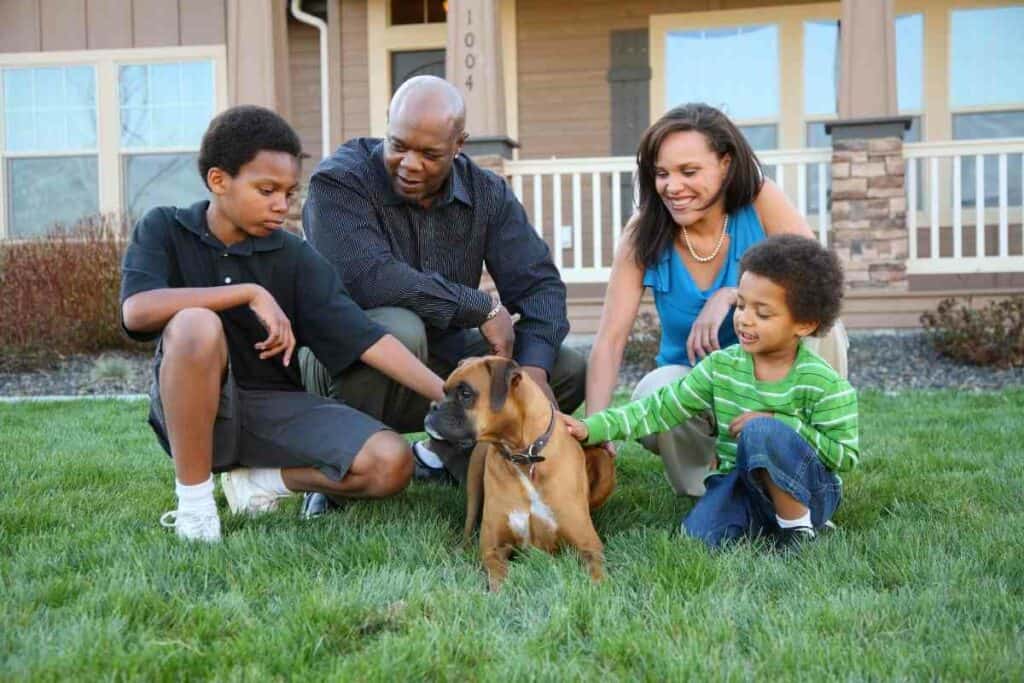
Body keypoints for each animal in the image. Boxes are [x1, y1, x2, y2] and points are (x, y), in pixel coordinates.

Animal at [423, 356, 614, 589]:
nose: (433, 406)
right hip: (475, 479)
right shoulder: (493, 549)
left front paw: (600, 587)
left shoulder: (589, 545)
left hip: (604, 461)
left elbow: (598, 573)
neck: (524, 455)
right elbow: (498, 578)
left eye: (466, 393)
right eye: (444, 391)